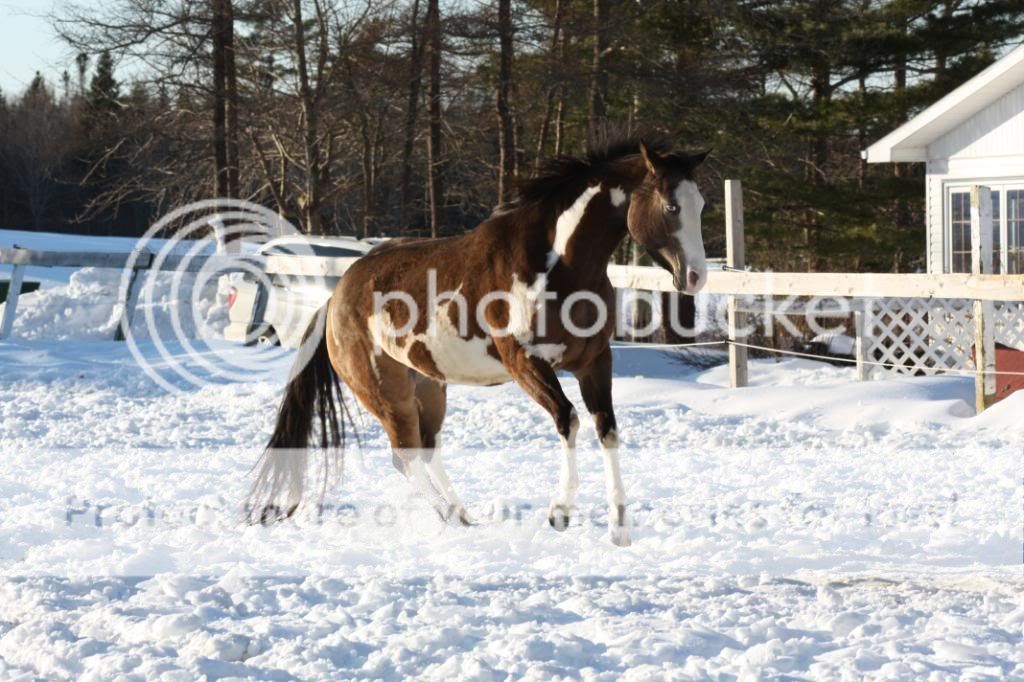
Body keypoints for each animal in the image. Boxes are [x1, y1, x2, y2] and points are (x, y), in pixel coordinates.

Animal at [250, 139, 708, 548]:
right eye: (671, 206)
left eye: (701, 205)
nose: (696, 278)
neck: (556, 263)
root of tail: (336, 297)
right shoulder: (526, 363)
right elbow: (569, 420)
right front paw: (560, 513)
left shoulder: (594, 361)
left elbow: (606, 429)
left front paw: (619, 531)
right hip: (385, 393)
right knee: (406, 456)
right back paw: (451, 519)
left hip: (429, 386)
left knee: (426, 451)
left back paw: (463, 517)